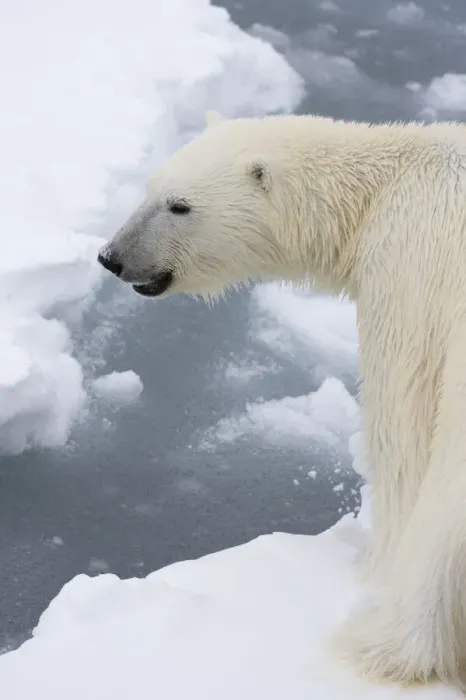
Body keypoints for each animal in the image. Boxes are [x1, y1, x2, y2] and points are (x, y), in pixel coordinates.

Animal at [98, 111, 466, 691]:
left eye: (180, 205)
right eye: (149, 189)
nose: (112, 258)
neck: (382, 186)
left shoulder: (411, 268)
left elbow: (402, 433)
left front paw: (374, 570)